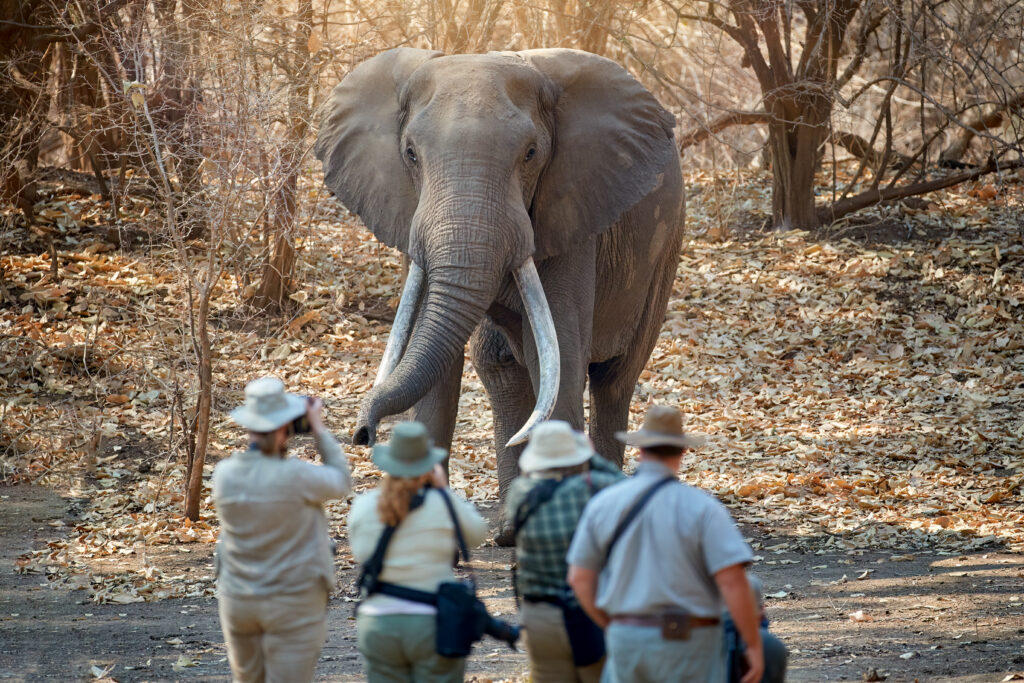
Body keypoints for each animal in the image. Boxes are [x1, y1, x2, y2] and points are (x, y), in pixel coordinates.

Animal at [315, 46, 684, 540]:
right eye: (410, 154)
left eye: (531, 154)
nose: (362, 434)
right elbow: (437, 374)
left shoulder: (571, 212)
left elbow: (560, 359)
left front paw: (558, 537)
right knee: (502, 367)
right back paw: (510, 529)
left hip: (664, 253)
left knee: (613, 380)